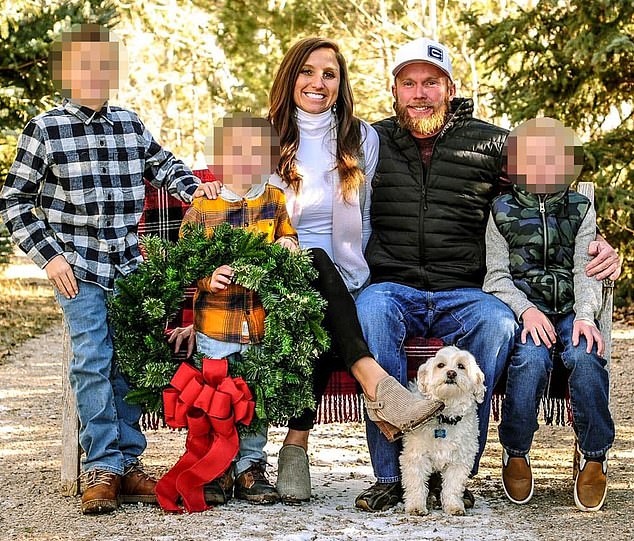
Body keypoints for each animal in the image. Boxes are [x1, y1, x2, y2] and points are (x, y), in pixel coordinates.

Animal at [400, 345, 486, 516]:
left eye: (461, 366)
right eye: (440, 365)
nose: (451, 373)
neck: (445, 417)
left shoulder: (459, 460)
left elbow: (452, 487)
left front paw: (454, 506)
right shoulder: (416, 456)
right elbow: (416, 484)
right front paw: (415, 506)